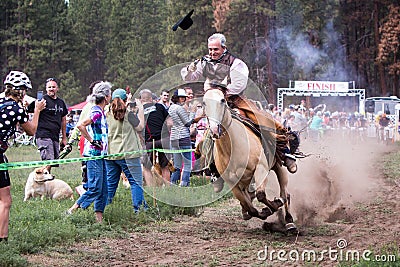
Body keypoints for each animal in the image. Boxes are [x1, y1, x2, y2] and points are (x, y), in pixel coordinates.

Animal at [202, 89, 296, 232]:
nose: (214, 129)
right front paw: (264, 211)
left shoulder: (261, 169)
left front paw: (274, 205)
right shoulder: (233, 183)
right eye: (204, 103)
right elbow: (250, 208)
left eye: (222, 100)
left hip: (278, 166)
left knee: (285, 194)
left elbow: (261, 195)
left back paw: (289, 221)